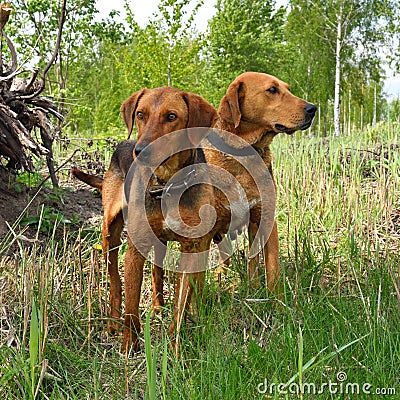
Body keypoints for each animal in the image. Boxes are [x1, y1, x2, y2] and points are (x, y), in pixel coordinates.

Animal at [73, 86, 217, 352]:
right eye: (140, 114)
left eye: (171, 117)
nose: (140, 152)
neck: (167, 184)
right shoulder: (135, 250)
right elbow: (131, 304)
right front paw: (129, 346)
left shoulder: (192, 247)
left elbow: (181, 305)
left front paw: (174, 348)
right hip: (110, 233)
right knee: (115, 282)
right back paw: (113, 322)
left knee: (157, 273)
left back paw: (158, 307)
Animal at [206, 72, 316, 290]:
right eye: (272, 89)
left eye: (288, 89)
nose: (313, 108)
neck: (243, 152)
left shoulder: (265, 219)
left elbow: (271, 267)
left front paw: (274, 296)